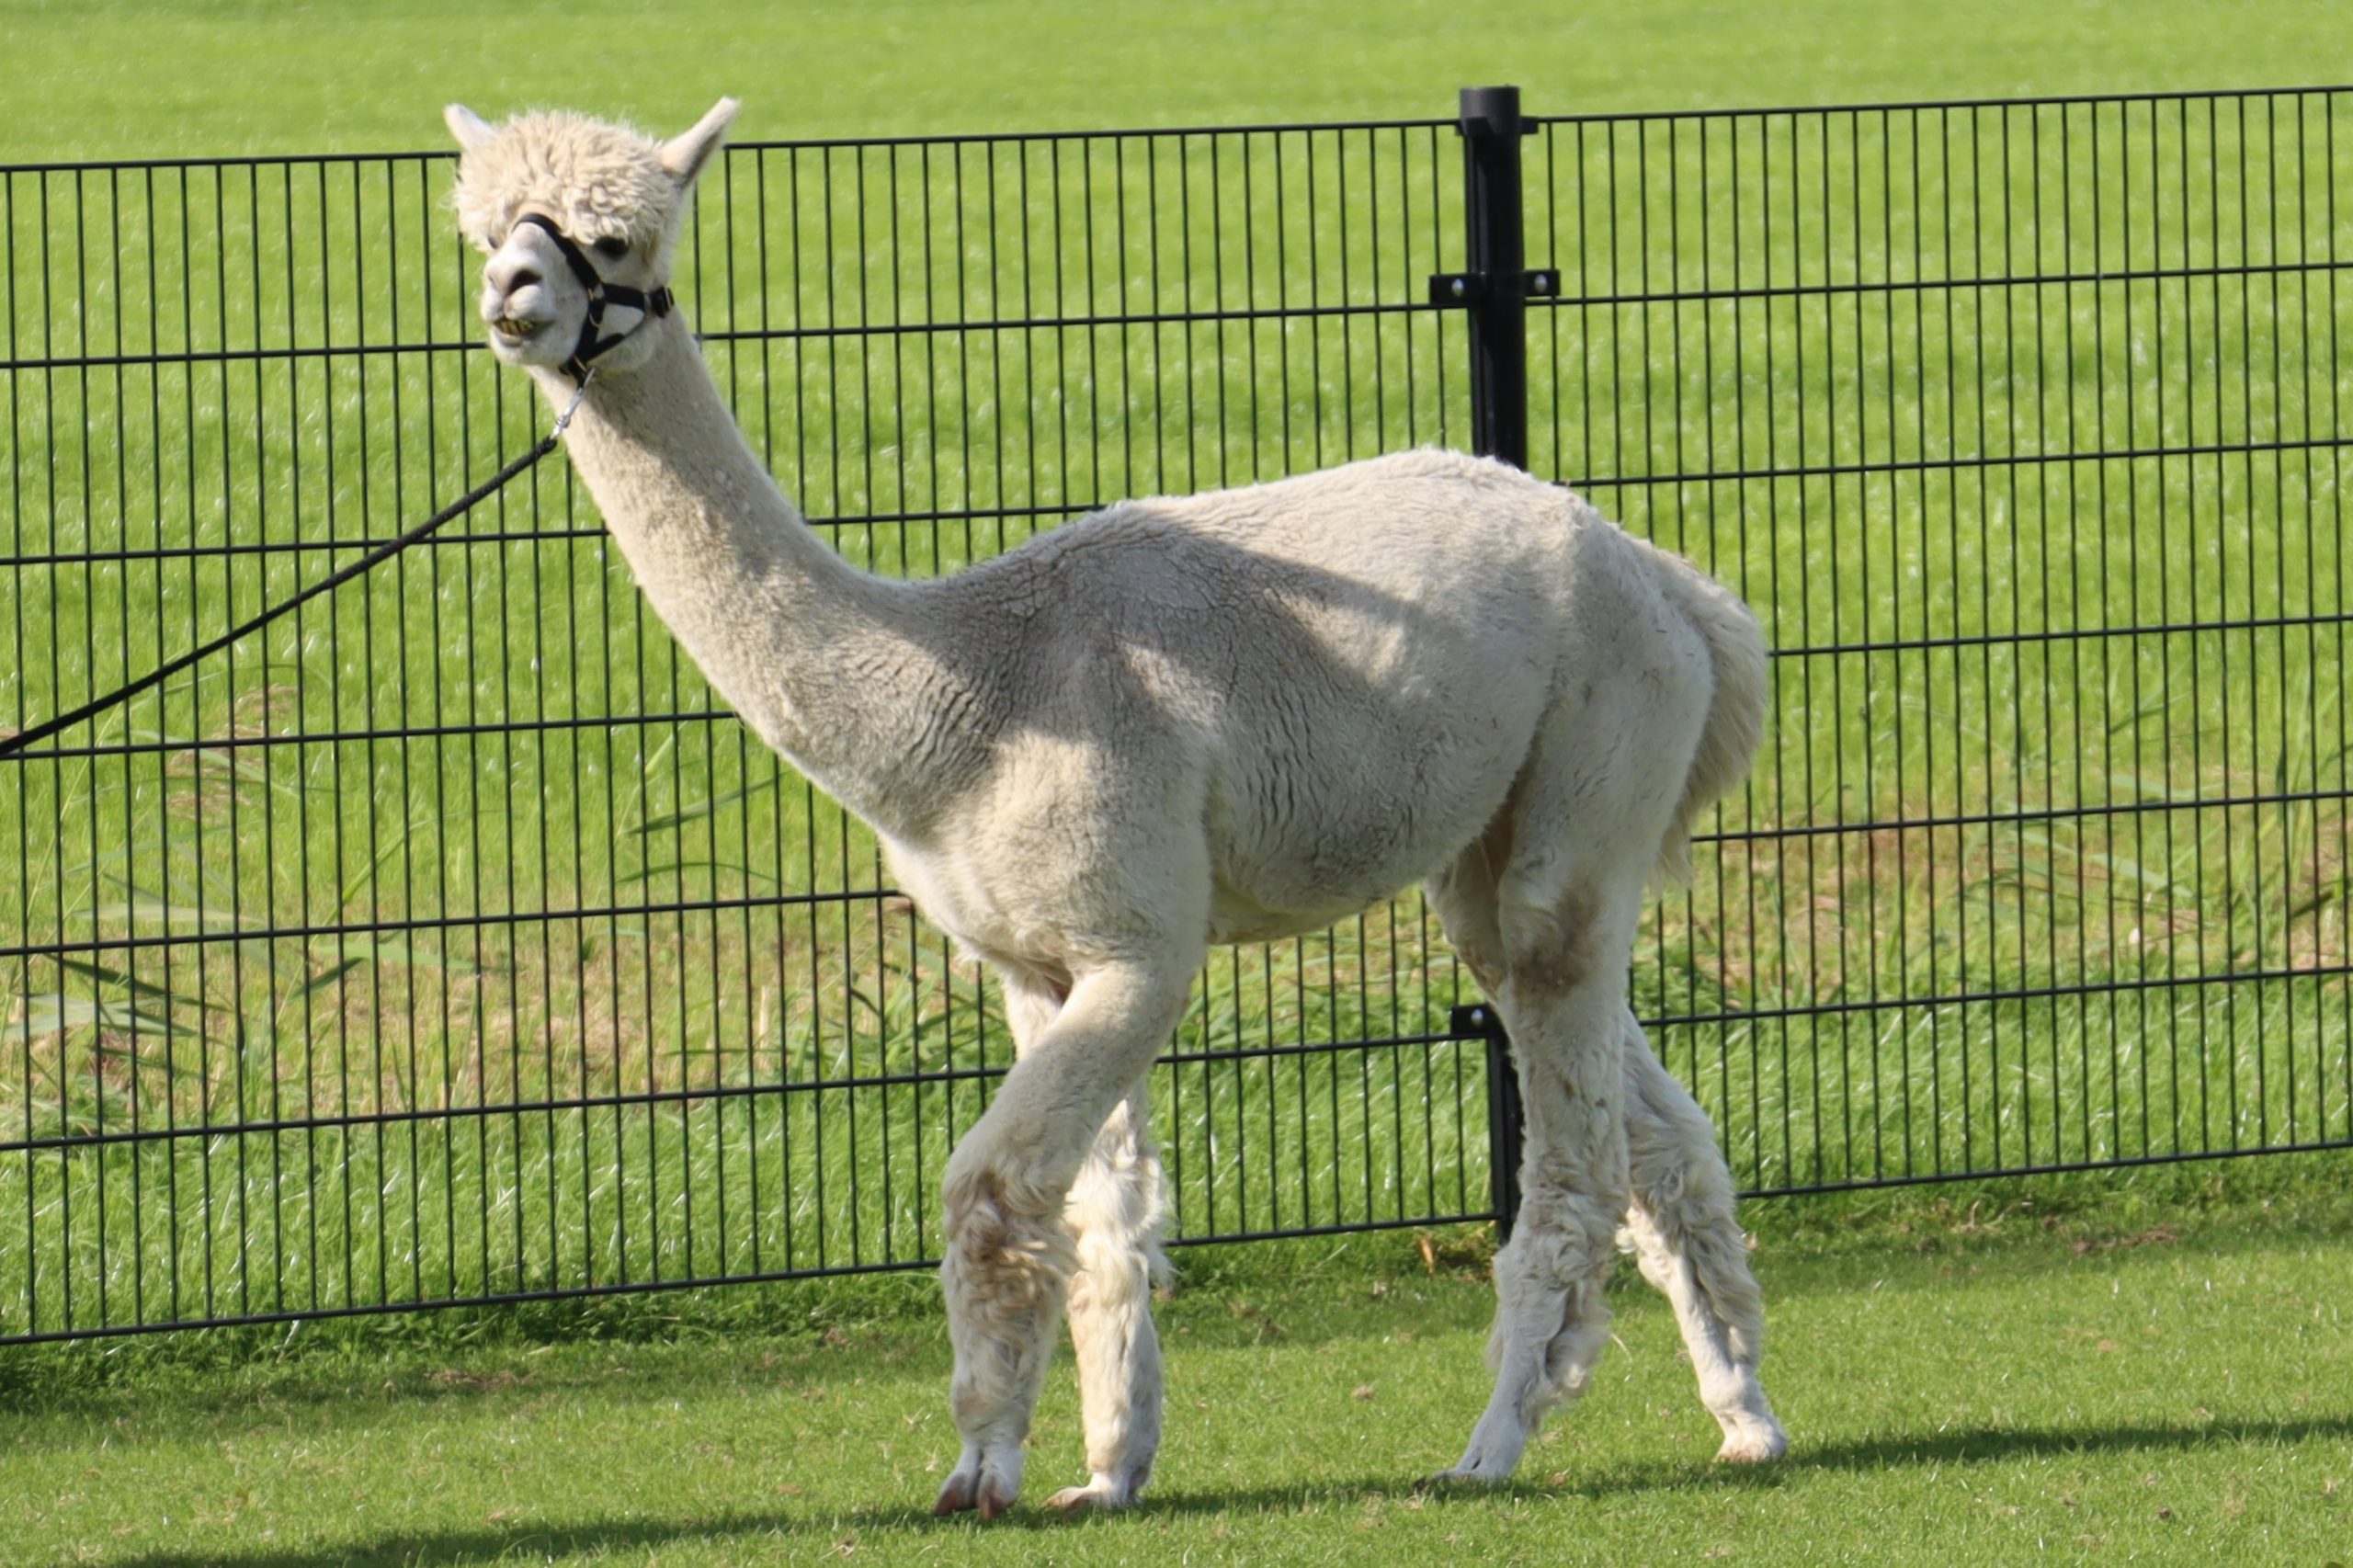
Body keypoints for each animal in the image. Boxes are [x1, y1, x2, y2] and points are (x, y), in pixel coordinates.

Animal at [444, 97, 1787, 1518]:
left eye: (613, 235)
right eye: (484, 226)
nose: (513, 292)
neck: (960, 695)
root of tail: (1669, 581)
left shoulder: (1137, 938)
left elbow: (992, 1191)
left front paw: (981, 1467)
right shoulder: (1030, 956)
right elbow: (1098, 1221)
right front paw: (1104, 1467)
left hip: (1592, 779)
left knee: (1578, 1149)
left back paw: (1492, 1443)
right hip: (1494, 844)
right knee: (1660, 1132)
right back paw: (1743, 1413)